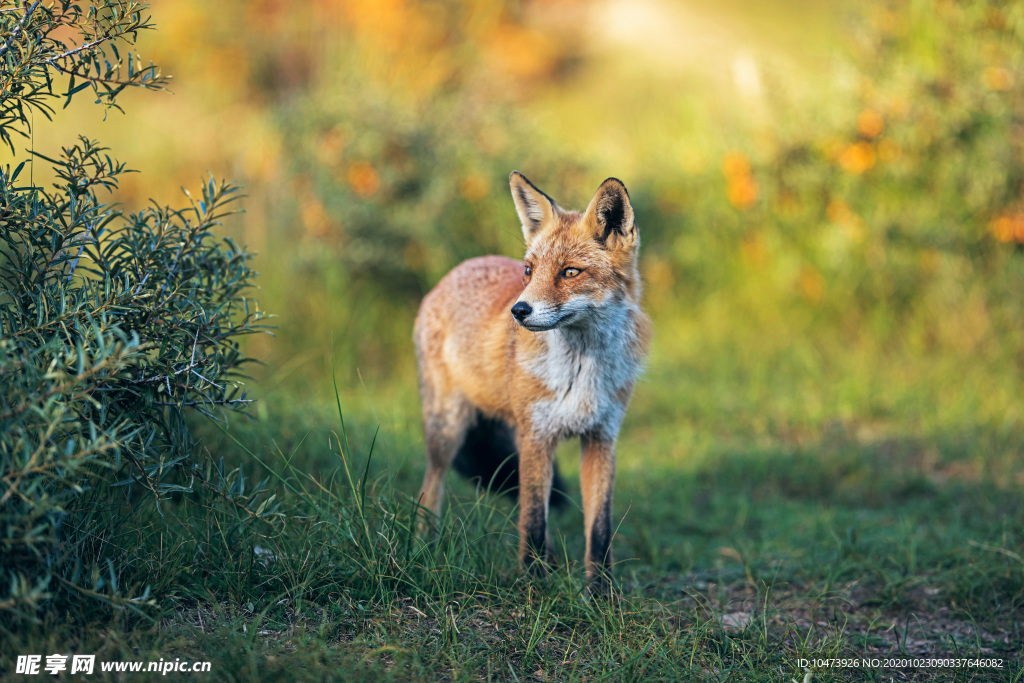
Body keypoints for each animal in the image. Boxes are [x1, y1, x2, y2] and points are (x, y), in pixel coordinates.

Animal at [413, 171, 647, 589]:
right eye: (529, 270)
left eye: (570, 272)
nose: (519, 310)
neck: (580, 372)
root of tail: (455, 271)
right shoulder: (538, 436)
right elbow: (534, 521)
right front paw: (534, 587)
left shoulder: (601, 438)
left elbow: (599, 531)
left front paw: (601, 593)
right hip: (448, 430)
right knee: (432, 486)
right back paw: (425, 548)